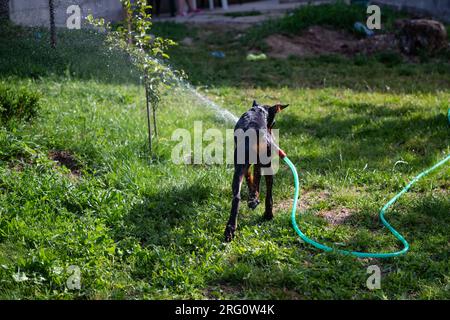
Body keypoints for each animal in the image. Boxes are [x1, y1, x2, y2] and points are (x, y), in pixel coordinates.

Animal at [224, 100, 288, 242]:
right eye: (274, 123)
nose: (272, 133)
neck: (260, 110)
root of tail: (255, 132)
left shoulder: (245, 165)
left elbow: (251, 179)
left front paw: (253, 198)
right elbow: (255, 180)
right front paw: (254, 198)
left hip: (241, 168)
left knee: (236, 197)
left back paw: (230, 229)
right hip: (264, 164)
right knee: (268, 194)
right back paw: (267, 213)